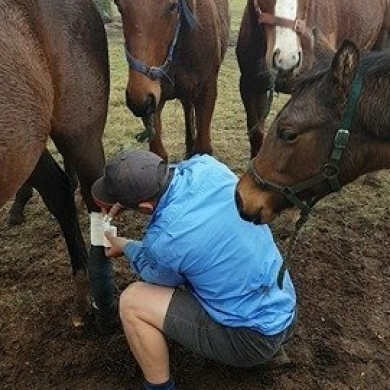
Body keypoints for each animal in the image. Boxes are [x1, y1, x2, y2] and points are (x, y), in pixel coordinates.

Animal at [112, 0, 230, 161]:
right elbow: (158, 153)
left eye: (173, 6)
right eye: (119, 6)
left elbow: (203, 148)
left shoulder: (207, 91)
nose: (139, 101)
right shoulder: (155, 102)